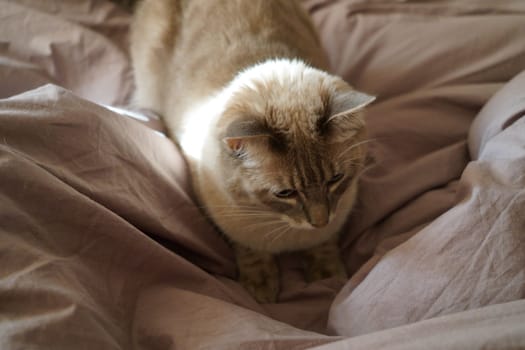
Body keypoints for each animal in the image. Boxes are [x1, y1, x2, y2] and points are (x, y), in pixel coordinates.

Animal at [132, 0, 376, 302]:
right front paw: (261, 287)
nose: (319, 221)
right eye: (285, 193)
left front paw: (327, 275)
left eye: (335, 179)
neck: (283, 229)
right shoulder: (230, 222)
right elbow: (251, 252)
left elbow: (324, 246)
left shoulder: (333, 220)